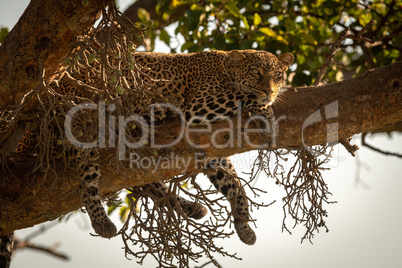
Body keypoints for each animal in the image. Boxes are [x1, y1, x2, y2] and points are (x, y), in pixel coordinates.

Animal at [14, 49, 292, 246]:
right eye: (256, 73)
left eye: (277, 75)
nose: (270, 90)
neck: (225, 69)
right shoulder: (198, 107)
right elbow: (242, 96)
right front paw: (265, 107)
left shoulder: (210, 146)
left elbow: (234, 183)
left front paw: (244, 225)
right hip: (82, 125)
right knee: (87, 178)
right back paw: (102, 222)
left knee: (147, 182)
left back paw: (191, 207)